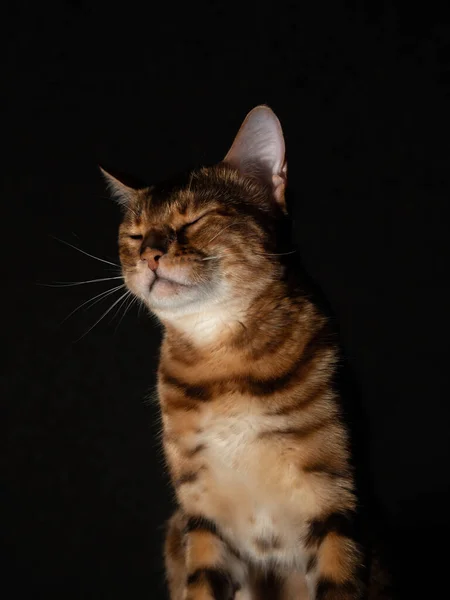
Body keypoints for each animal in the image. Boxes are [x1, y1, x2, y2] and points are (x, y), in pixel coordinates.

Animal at [103, 108, 372, 600]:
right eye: (134, 234)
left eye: (194, 220)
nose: (150, 253)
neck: (222, 365)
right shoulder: (202, 516)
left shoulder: (336, 500)